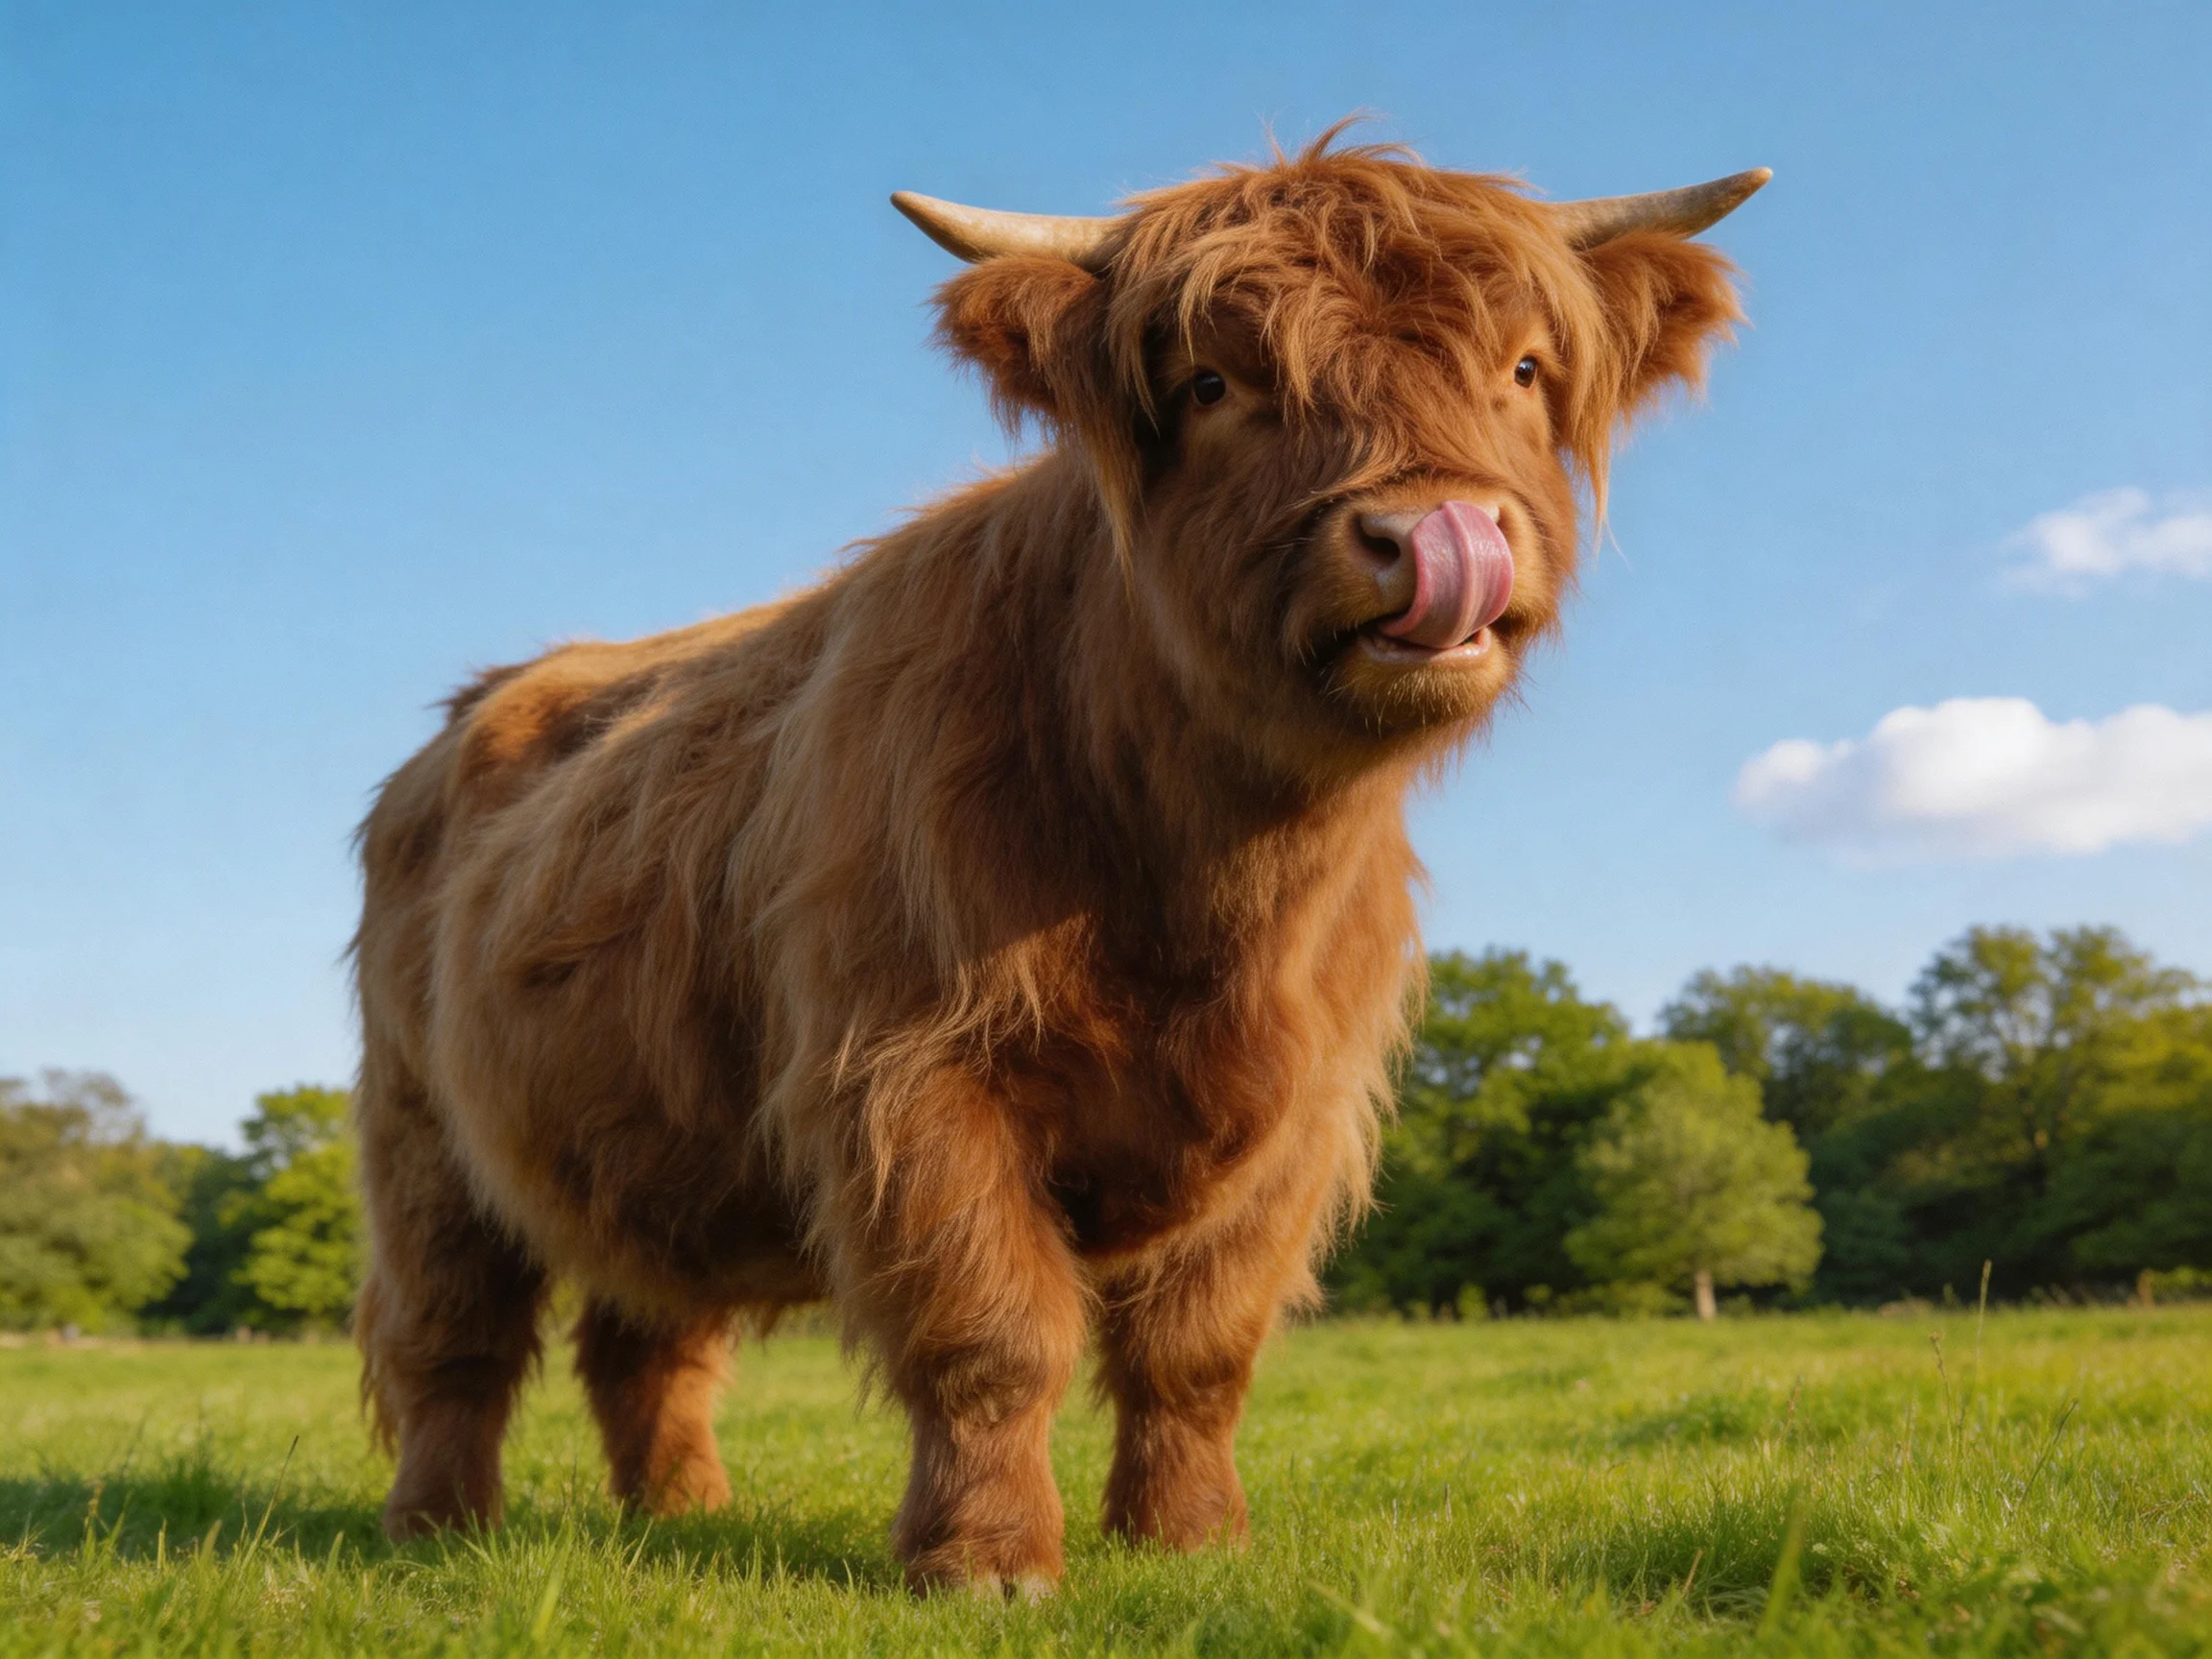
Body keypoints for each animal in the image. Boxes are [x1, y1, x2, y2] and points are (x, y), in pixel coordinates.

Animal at [351, 134, 1762, 1593]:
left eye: (1526, 369)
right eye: (1213, 383)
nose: (1430, 532)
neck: (1203, 883)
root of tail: (477, 708)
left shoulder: (1298, 1122)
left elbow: (1199, 1353)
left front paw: (1192, 1542)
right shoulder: (910, 1072)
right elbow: (994, 1333)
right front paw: (989, 1564)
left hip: (652, 1146)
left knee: (647, 1337)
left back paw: (686, 1515)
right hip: (418, 1131)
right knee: (451, 1336)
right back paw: (437, 1527)